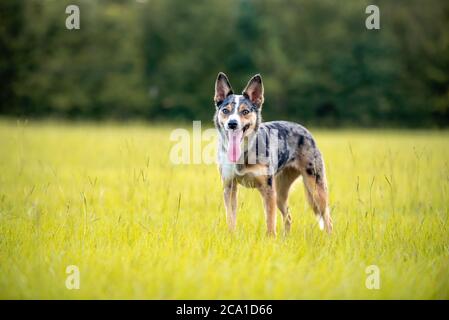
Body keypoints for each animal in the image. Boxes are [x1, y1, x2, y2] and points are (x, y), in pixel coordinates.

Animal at [212, 73, 330, 238]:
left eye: (245, 112)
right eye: (225, 110)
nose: (232, 123)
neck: (244, 152)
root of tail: (305, 130)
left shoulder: (268, 190)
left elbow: (270, 221)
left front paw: (270, 240)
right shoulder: (229, 187)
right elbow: (231, 218)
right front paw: (231, 236)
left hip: (314, 188)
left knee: (327, 218)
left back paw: (330, 238)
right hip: (280, 193)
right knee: (288, 216)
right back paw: (286, 239)